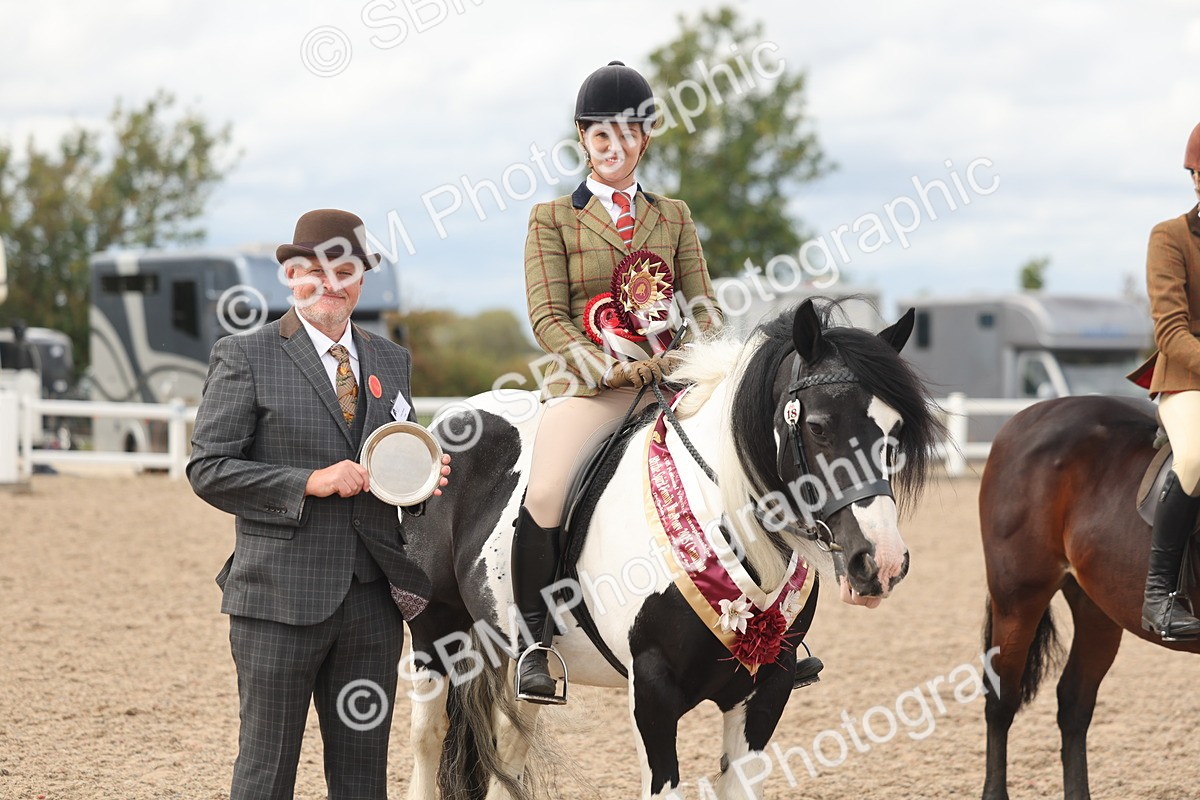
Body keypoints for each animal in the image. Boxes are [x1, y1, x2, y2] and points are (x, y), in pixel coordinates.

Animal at [400, 299, 944, 800]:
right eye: (818, 426)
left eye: (895, 433)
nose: (881, 562)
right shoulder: (653, 691)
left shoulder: (768, 688)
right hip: (435, 631)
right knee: (428, 735)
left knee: (511, 744)